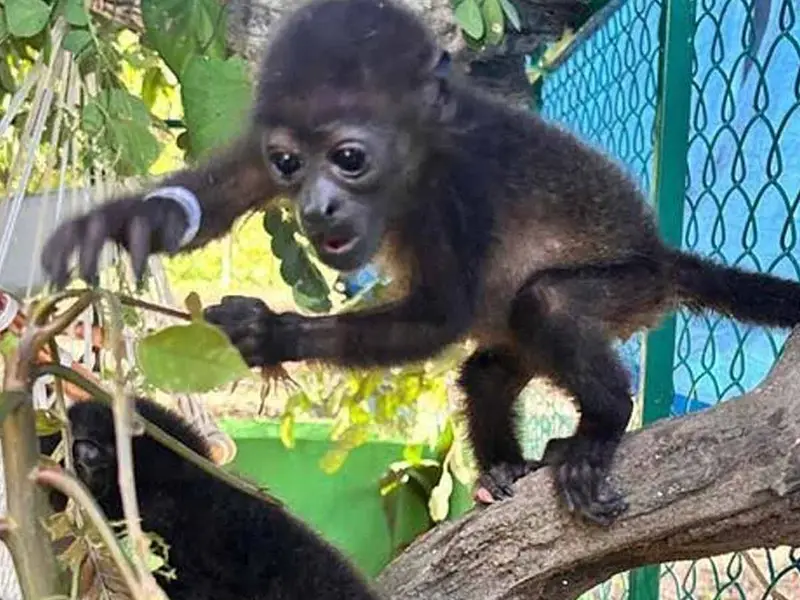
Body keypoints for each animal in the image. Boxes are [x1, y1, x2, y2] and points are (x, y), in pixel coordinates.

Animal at [39, 0, 800, 526]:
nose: (314, 207)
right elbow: (218, 196)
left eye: (349, 157)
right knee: (487, 371)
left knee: (548, 304)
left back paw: (602, 425)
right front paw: (109, 226)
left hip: (631, 288)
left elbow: (440, 316)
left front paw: (269, 334)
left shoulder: (456, 188)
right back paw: (501, 469)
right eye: (287, 162)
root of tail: (660, 255)